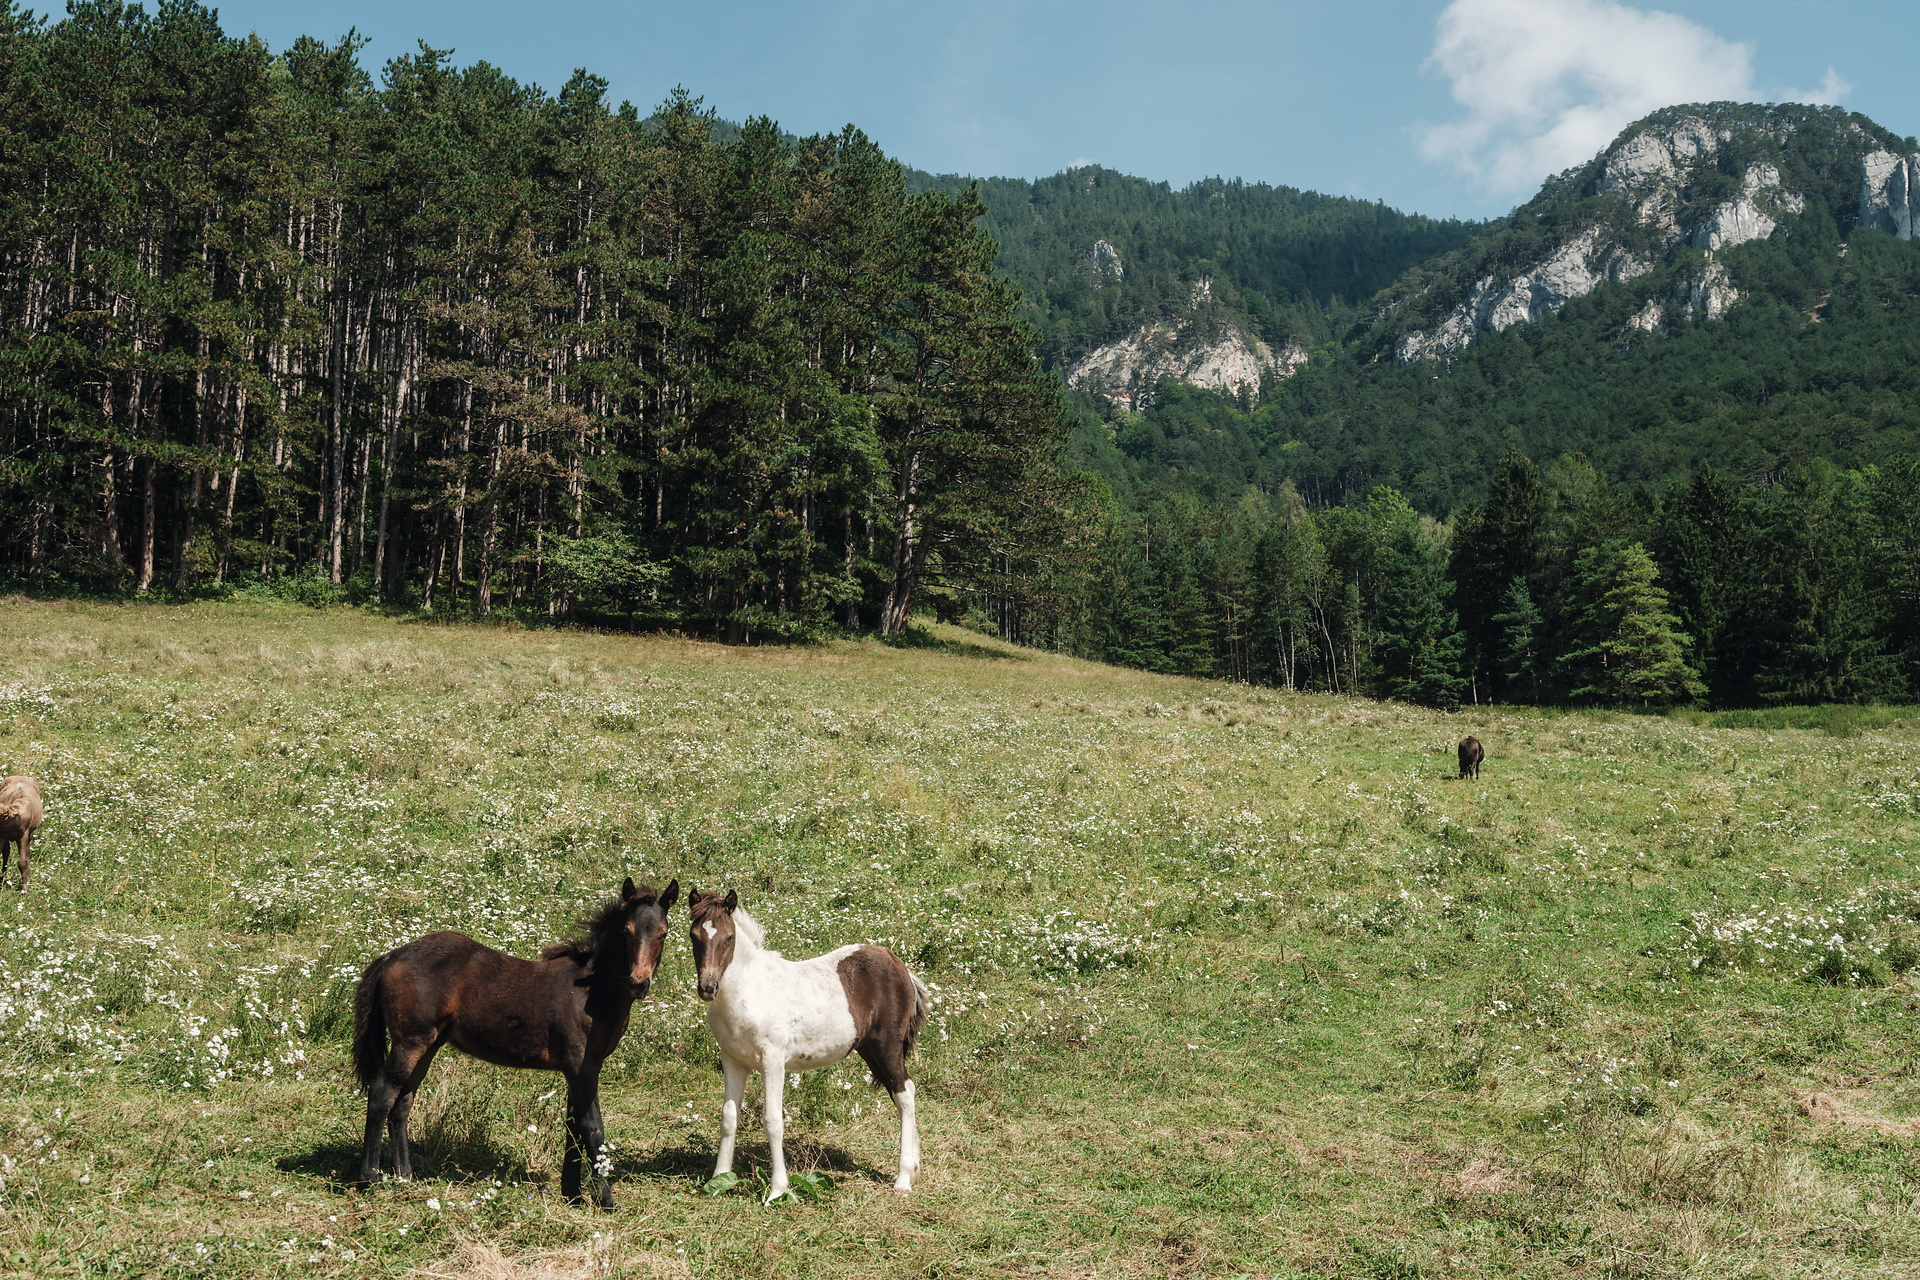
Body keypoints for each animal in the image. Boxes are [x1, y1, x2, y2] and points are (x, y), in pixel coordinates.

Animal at [351, 877, 678, 1207]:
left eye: (663, 934)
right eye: (627, 932)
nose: (639, 983)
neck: (592, 993)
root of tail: (392, 956)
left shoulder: (577, 1070)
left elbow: (573, 1126)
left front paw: (572, 1194)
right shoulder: (582, 1066)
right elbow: (593, 1127)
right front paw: (606, 1199)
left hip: (428, 1045)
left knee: (402, 1102)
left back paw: (404, 1175)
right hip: (410, 1043)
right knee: (382, 1094)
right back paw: (368, 1178)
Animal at [687, 888, 927, 1202]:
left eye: (728, 938)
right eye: (694, 936)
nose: (708, 987)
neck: (749, 991)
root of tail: (901, 967)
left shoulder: (773, 1061)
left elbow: (773, 1121)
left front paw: (778, 1190)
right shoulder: (733, 1061)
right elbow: (728, 1117)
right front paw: (719, 1179)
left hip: (887, 1047)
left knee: (905, 1095)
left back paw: (903, 1179)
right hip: (869, 1049)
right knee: (904, 1090)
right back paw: (913, 1166)